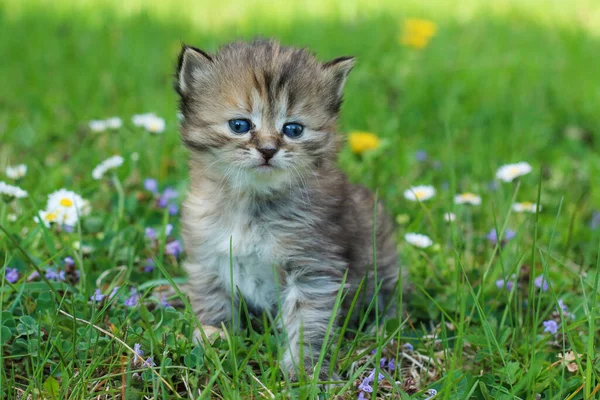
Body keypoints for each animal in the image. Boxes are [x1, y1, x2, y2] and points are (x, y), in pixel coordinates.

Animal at [175, 39, 398, 380]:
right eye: (240, 125)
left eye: (293, 129)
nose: (268, 150)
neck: (252, 203)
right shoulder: (208, 259)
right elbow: (213, 304)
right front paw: (214, 339)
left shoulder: (313, 269)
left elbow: (308, 321)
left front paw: (302, 371)